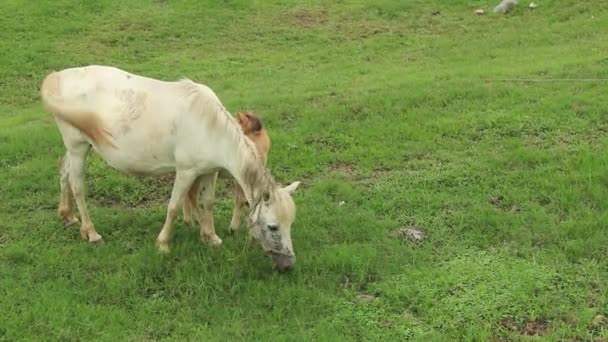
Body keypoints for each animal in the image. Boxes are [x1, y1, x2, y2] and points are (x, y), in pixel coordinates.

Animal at [40, 65, 302, 272]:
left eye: (290, 224)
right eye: (272, 226)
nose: (288, 265)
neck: (210, 127)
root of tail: (58, 77)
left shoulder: (209, 172)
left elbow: (207, 203)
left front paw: (211, 237)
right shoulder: (186, 172)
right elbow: (174, 207)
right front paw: (163, 243)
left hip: (77, 148)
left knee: (63, 171)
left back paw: (67, 215)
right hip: (78, 147)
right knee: (77, 186)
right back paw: (91, 233)